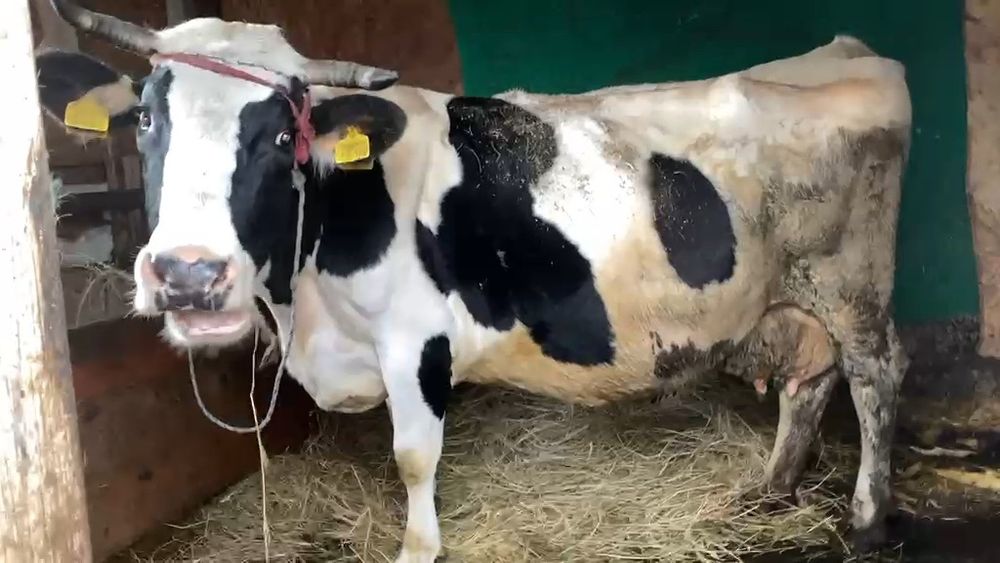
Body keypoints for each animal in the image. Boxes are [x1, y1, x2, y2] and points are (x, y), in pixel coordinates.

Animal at [34, 2, 911, 561]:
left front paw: (419, 548)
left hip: (854, 283)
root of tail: (841, 53)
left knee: (875, 376)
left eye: (285, 134)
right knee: (809, 381)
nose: (188, 272)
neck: (308, 309)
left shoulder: (415, 340)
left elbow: (413, 456)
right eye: (148, 120)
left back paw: (867, 516)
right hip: (794, 297)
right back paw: (769, 488)